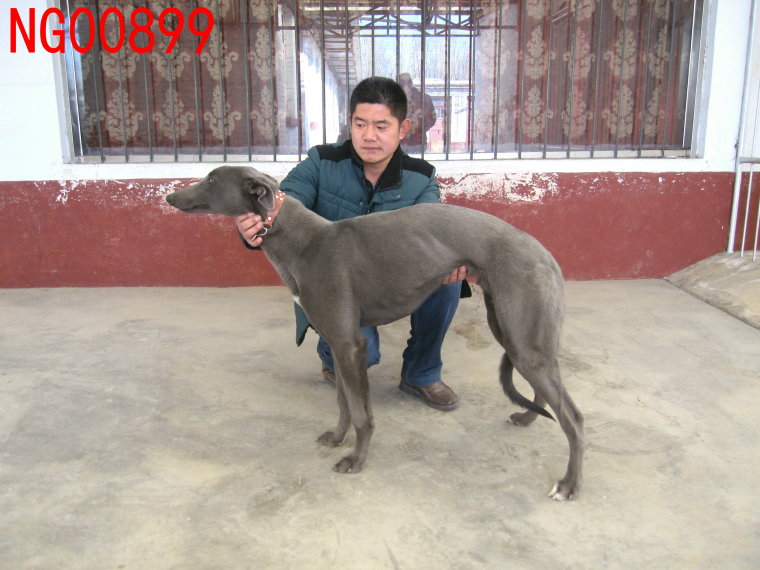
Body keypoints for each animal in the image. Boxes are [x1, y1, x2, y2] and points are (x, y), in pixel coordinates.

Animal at [166, 165, 585, 500]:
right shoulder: (337, 343)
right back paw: (527, 418)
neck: (303, 241)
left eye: (212, 179)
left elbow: (361, 412)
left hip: (524, 338)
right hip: (515, 334)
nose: (169, 195)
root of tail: (542, 251)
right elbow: (342, 403)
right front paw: (337, 439)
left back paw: (568, 485)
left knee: (574, 419)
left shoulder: (349, 344)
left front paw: (354, 459)